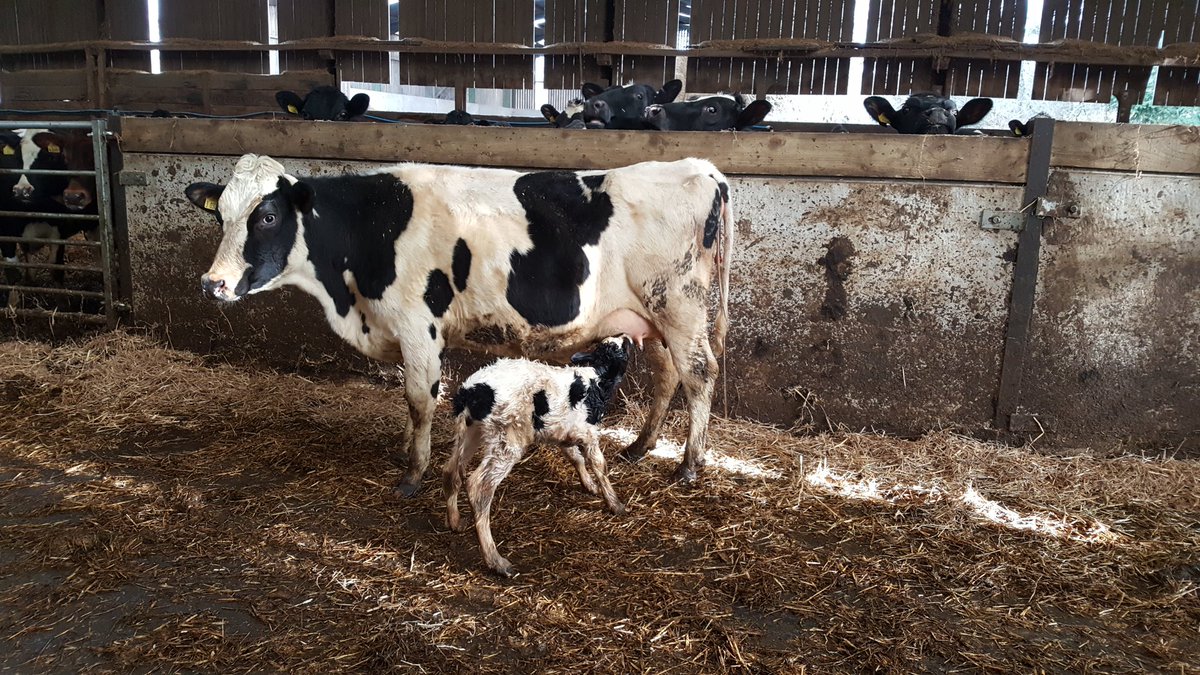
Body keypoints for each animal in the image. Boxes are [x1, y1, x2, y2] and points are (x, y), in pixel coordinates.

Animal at [185, 154, 734, 497]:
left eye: (268, 216)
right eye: (222, 216)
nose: (213, 283)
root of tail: (701, 169)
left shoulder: (417, 324)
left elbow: (420, 397)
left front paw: (413, 473)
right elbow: (410, 400)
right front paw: (407, 450)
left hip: (679, 306)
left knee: (699, 373)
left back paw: (689, 465)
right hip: (653, 317)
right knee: (668, 373)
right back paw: (640, 448)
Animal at [445, 335, 633, 576]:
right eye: (619, 349)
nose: (627, 338)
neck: (596, 378)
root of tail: (471, 390)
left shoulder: (563, 433)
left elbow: (575, 457)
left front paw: (589, 485)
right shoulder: (588, 432)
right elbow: (599, 465)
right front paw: (615, 503)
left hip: (472, 430)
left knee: (451, 470)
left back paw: (455, 521)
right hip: (507, 439)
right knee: (479, 486)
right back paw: (496, 561)